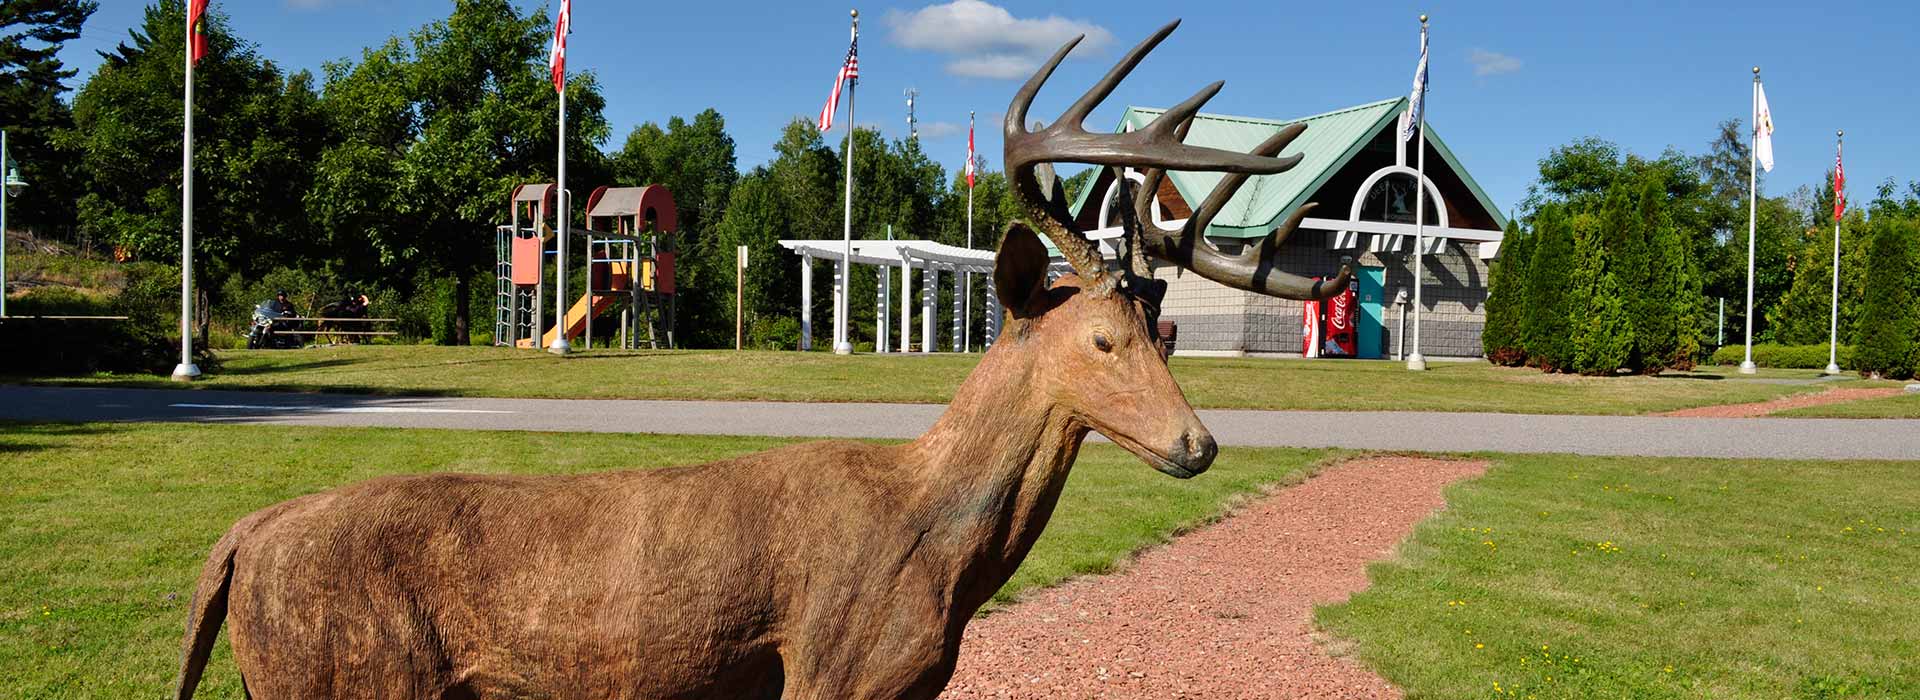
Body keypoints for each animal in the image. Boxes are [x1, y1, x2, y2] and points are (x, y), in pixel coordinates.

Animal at [172, 19, 1350, 700]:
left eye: (1163, 330)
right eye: (1100, 339)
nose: (1199, 444)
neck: (940, 556)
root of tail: (235, 542)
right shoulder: (831, 665)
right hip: (340, 675)